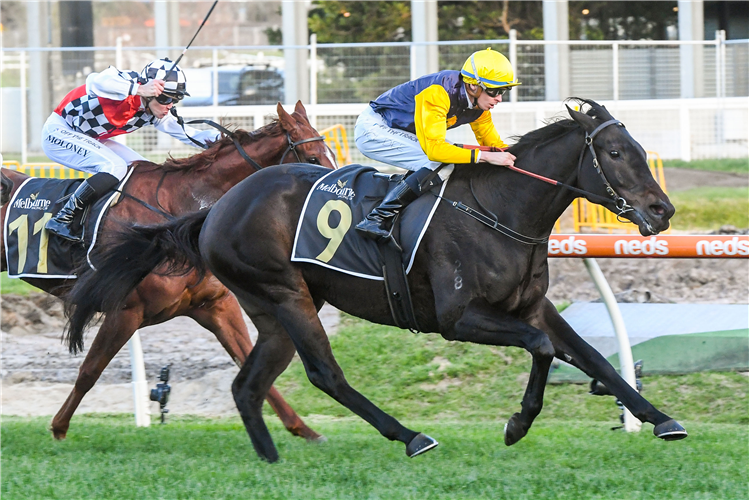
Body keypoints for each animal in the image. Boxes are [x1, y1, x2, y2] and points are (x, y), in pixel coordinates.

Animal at [0, 99, 336, 440]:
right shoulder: (126, 310)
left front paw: (304, 430)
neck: (177, 213)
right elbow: (89, 371)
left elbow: (250, 362)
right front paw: (59, 428)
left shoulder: (215, 305)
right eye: (312, 158)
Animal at [62, 99, 684, 462]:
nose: (663, 210)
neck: (502, 209)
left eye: (635, 148)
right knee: (325, 374)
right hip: (287, 295)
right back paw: (410, 436)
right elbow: (542, 350)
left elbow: (593, 357)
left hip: (273, 309)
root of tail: (216, 208)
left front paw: (662, 421)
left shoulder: (531, 306)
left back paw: (273, 457)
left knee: (248, 385)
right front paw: (517, 423)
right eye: (613, 152)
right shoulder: (460, 319)